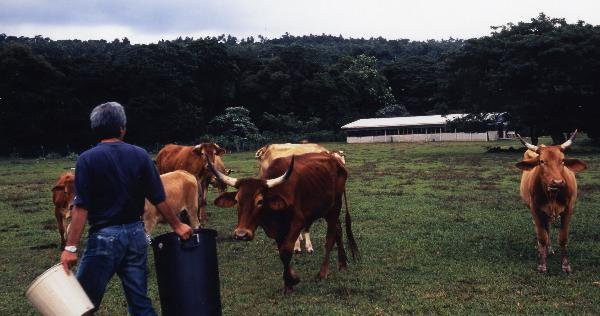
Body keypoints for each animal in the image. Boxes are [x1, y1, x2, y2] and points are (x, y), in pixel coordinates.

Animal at [209, 152, 358, 292]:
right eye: (237, 200)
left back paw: (323, 273)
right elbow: (282, 252)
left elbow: (286, 251)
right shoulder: (278, 230)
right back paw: (342, 264)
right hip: (327, 210)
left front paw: (291, 281)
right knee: (338, 229)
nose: (241, 234)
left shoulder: (297, 223)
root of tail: (336, 160)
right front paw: (289, 283)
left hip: (335, 207)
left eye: (260, 201)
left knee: (330, 237)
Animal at [512, 130, 588, 272]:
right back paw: (544, 250)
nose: (557, 182)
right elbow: (542, 237)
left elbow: (563, 238)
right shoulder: (535, 210)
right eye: (542, 161)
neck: (552, 195)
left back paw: (549, 249)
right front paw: (542, 264)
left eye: (562, 160)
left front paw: (566, 265)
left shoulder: (568, 209)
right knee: (544, 230)